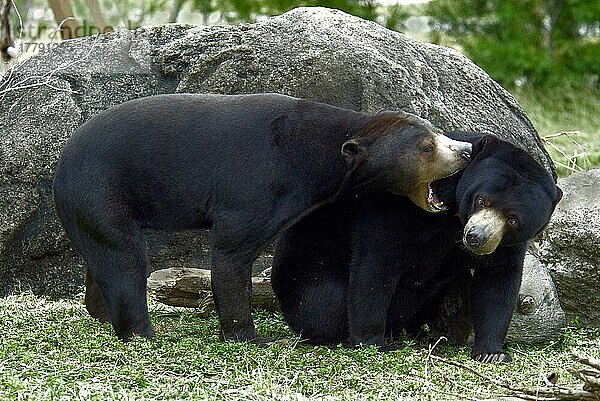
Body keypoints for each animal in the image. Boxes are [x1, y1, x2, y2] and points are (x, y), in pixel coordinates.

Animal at [52, 93, 474, 340]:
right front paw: (251, 337)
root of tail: (60, 165)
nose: (466, 150)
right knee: (124, 260)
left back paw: (101, 314)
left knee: (103, 257)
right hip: (100, 190)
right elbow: (230, 256)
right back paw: (142, 332)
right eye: (427, 147)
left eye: (439, 135)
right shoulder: (254, 186)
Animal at [272, 132, 564, 362]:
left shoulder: (504, 244)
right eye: (482, 200)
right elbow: (377, 263)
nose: (476, 238)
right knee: (324, 300)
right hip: (307, 266)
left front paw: (491, 353)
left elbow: (498, 280)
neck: (455, 214)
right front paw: (373, 343)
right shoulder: (401, 206)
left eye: (513, 220)